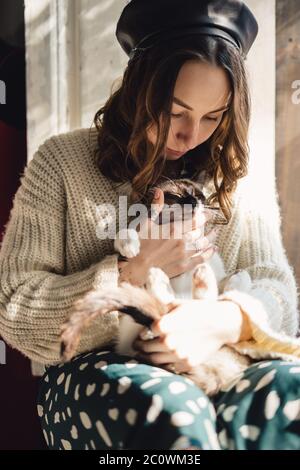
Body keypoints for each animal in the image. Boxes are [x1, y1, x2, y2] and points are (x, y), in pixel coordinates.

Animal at [61, 178, 253, 394]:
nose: (193, 201)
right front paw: (130, 246)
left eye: (199, 196)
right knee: (165, 308)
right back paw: (162, 278)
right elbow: (125, 233)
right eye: (177, 195)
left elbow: (230, 283)